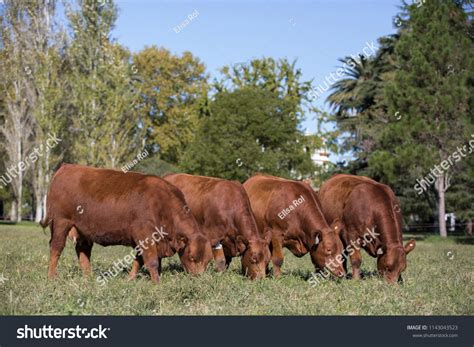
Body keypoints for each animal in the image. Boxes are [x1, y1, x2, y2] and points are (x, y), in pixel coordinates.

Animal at [40, 164, 213, 284]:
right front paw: (157, 283)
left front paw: (130, 279)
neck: (162, 204)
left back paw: (88, 277)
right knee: (56, 248)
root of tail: (66, 167)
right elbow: (151, 261)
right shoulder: (145, 235)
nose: (199, 278)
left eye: (208, 260)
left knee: (83, 251)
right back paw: (51, 276)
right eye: (192, 257)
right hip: (61, 223)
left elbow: (139, 260)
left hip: (83, 230)